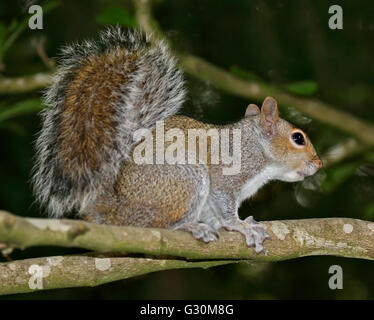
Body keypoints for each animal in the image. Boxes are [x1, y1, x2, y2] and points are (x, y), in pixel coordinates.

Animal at [32, 26, 322, 252]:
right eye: (298, 138)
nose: (319, 164)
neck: (257, 149)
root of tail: (113, 211)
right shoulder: (226, 175)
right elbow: (224, 205)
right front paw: (239, 226)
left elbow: (216, 213)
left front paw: (240, 225)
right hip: (184, 178)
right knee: (159, 225)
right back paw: (189, 227)